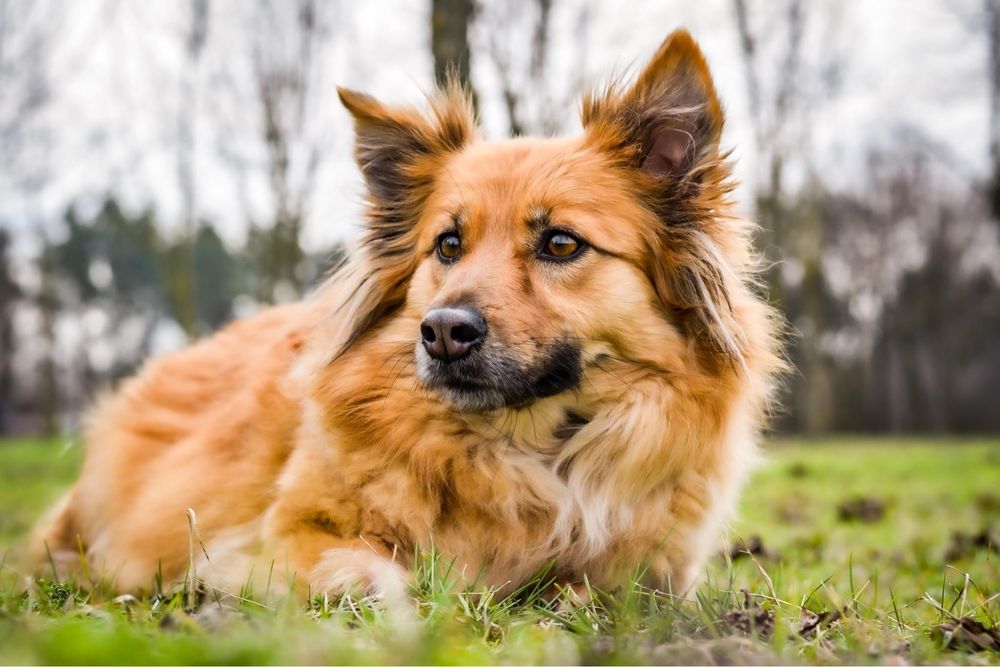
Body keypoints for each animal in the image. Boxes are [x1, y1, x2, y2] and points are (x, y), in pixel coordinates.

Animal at [29, 31, 780, 604]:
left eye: (562, 243)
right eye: (447, 244)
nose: (443, 332)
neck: (525, 450)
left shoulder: (656, 571)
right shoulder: (285, 534)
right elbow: (377, 569)